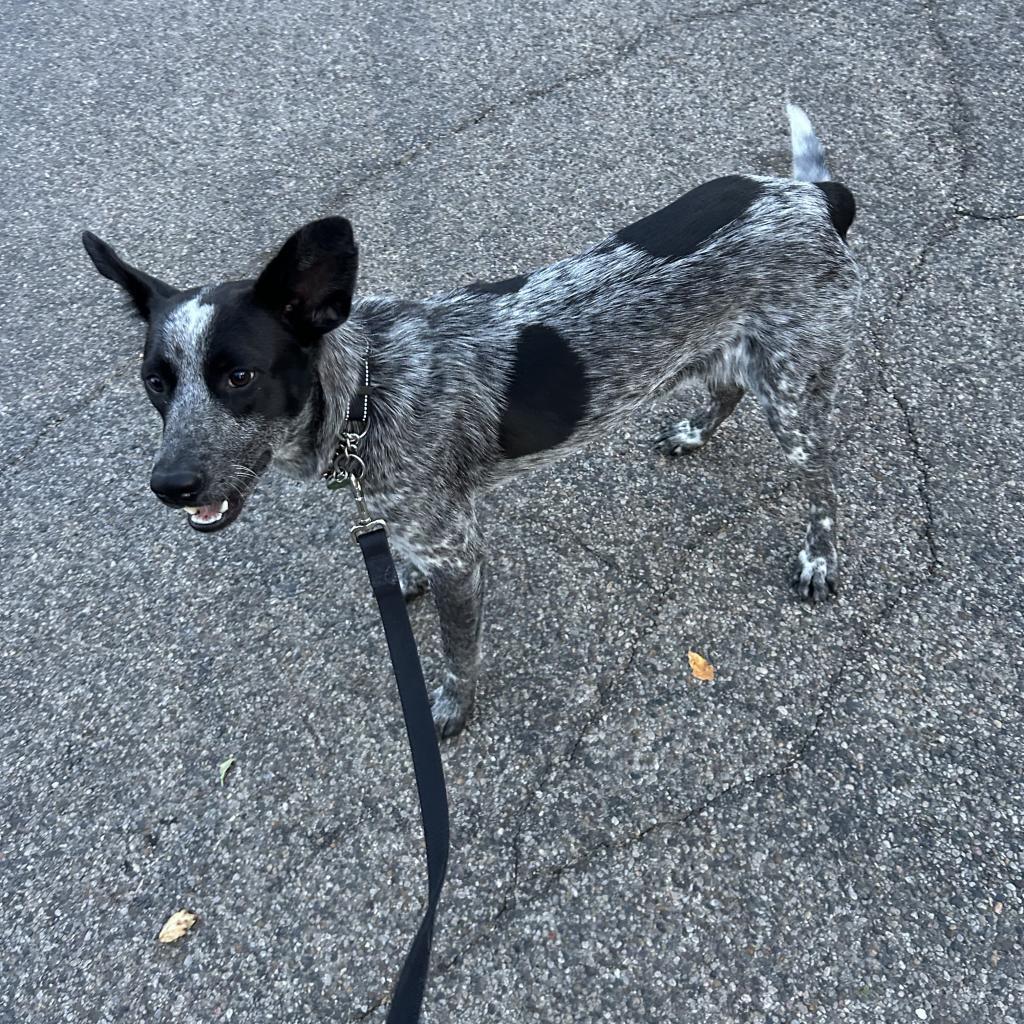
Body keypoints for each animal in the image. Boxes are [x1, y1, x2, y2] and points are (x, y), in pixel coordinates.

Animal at [83, 105, 860, 737]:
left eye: (239, 377)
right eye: (156, 383)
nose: (170, 485)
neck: (370, 387)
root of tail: (814, 198)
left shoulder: (461, 555)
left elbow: (457, 655)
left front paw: (451, 710)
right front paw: (402, 576)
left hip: (793, 397)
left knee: (823, 480)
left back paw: (819, 557)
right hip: (731, 357)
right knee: (724, 392)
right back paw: (696, 432)